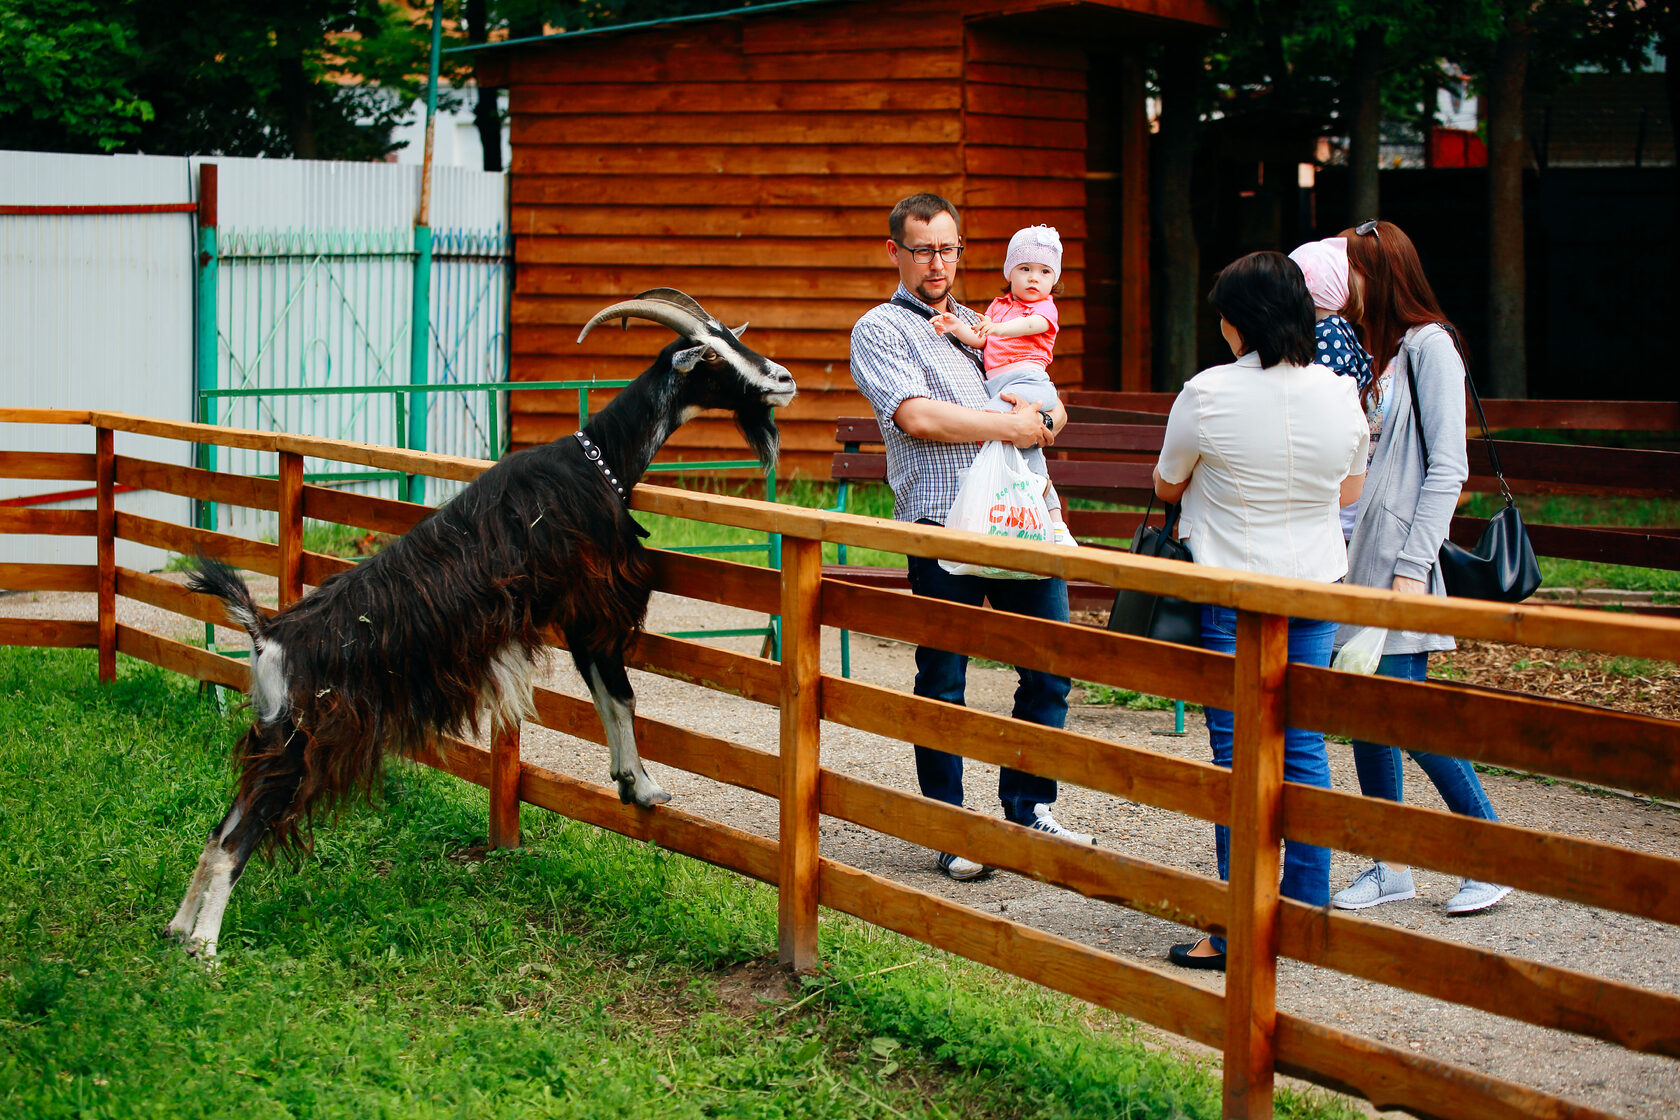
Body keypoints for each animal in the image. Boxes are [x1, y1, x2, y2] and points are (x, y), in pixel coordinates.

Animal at [167, 292, 796, 967]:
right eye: (710, 356)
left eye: (733, 337)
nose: (783, 379)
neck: (601, 458)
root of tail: (267, 635)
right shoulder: (593, 602)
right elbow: (622, 694)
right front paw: (646, 788)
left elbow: (606, 696)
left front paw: (630, 783)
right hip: (301, 744)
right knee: (239, 839)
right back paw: (206, 949)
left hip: (272, 735)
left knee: (220, 828)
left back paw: (176, 930)